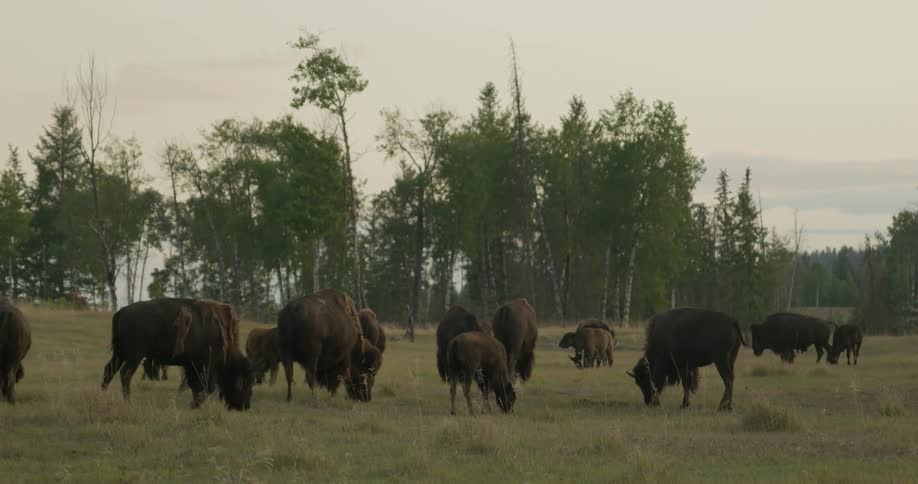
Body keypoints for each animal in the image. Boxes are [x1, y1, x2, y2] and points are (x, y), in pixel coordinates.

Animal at [100, 298, 253, 411]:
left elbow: (196, 386)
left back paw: (103, 395)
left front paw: (194, 404)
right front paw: (194, 405)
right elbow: (205, 387)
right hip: (134, 356)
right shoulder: (204, 365)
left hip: (120, 354)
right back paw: (128, 402)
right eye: (244, 385)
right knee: (125, 373)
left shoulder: (191, 366)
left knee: (109, 370)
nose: (245, 406)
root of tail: (120, 312)